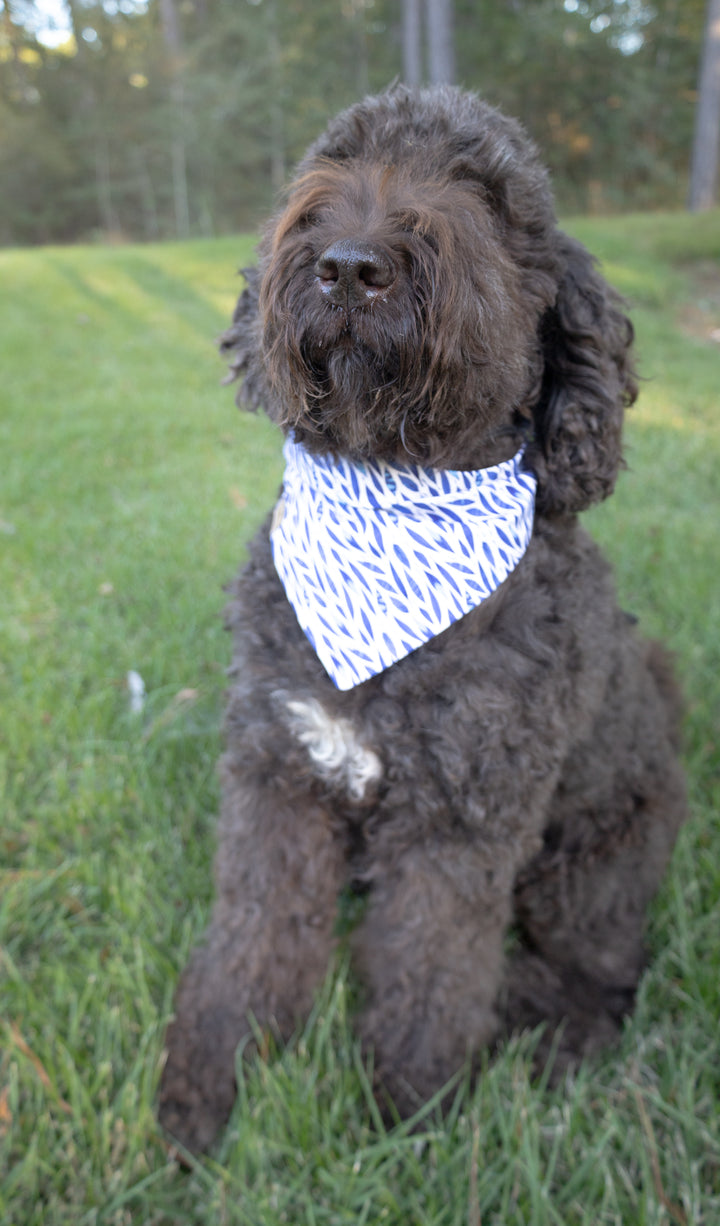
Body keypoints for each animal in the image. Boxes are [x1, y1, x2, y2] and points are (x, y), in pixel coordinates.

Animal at [158, 88, 686, 1157]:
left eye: (483, 192)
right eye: (335, 158)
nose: (352, 264)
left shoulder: (462, 821)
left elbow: (430, 973)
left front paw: (408, 1115)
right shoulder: (278, 774)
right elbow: (254, 935)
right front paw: (211, 1078)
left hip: (596, 860)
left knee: (604, 970)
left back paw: (543, 1029)